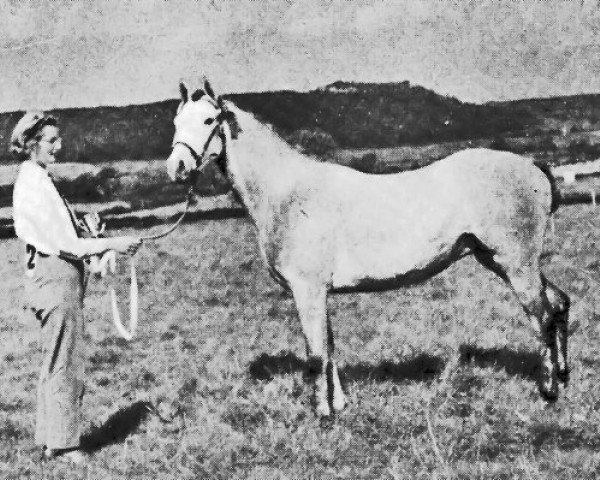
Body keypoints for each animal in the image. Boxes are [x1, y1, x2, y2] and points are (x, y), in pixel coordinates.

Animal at [166, 79, 568, 416]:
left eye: (208, 120)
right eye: (176, 121)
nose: (177, 167)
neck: (288, 193)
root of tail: (534, 166)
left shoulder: (307, 290)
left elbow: (315, 353)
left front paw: (322, 415)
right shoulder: (318, 292)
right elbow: (329, 347)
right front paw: (340, 405)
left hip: (516, 265)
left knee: (544, 317)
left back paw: (548, 389)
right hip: (501, 261)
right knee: (559, 303)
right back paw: (563, 376)